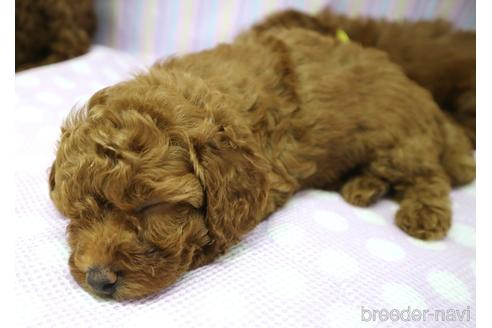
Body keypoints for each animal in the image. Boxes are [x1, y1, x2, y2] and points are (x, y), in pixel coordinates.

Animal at [48, 26, 474, 302]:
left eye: (151, 206)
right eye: (78, 210)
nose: (98, 280)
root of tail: (423, 98)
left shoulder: (270, 177)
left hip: (398, 140)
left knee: (430, 174)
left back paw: (423, 215)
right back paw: (362, 187)